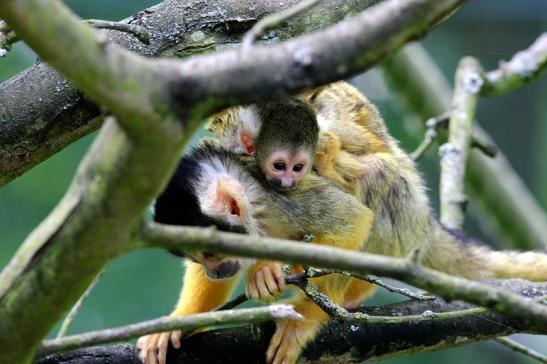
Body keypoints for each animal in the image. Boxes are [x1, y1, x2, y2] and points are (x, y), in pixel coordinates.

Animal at [139, 141, 374, 364]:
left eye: (211, 253)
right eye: (198, 259)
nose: (212, 273)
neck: (257, 208)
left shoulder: (291, 203)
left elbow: (353, 222)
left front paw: (269, 273)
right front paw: (180, 320)